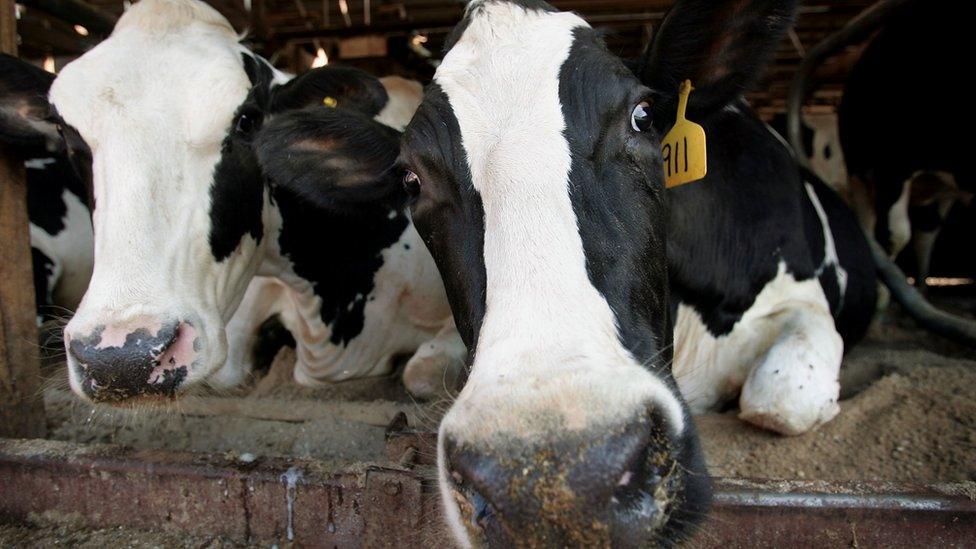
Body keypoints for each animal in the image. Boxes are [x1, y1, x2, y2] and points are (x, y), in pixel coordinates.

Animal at [360, 0, 876, 544]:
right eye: (411, 179)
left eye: (642, 116)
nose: (556, 487)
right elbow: (419, 370)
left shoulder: (800, 300)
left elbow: (780, 400)